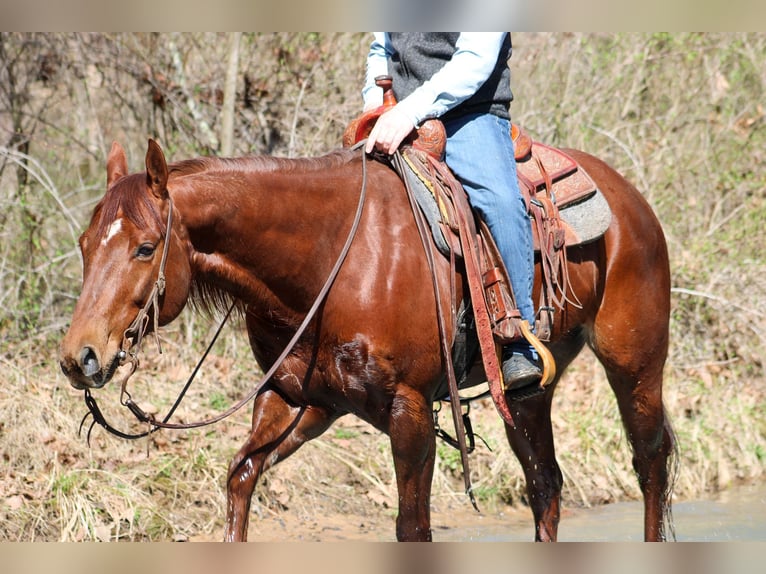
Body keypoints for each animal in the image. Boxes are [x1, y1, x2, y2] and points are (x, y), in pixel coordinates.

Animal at [60, 140, 680, 544]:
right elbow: (240, 478)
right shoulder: (300, 401)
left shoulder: (410, 411)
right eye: (85, 244)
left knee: (649, 460)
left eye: (145, 248)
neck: (334, 259)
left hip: (635, 363)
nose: (78, 357)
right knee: (545, 483)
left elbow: (413, 526)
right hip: (527, 394)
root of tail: (630, 199)